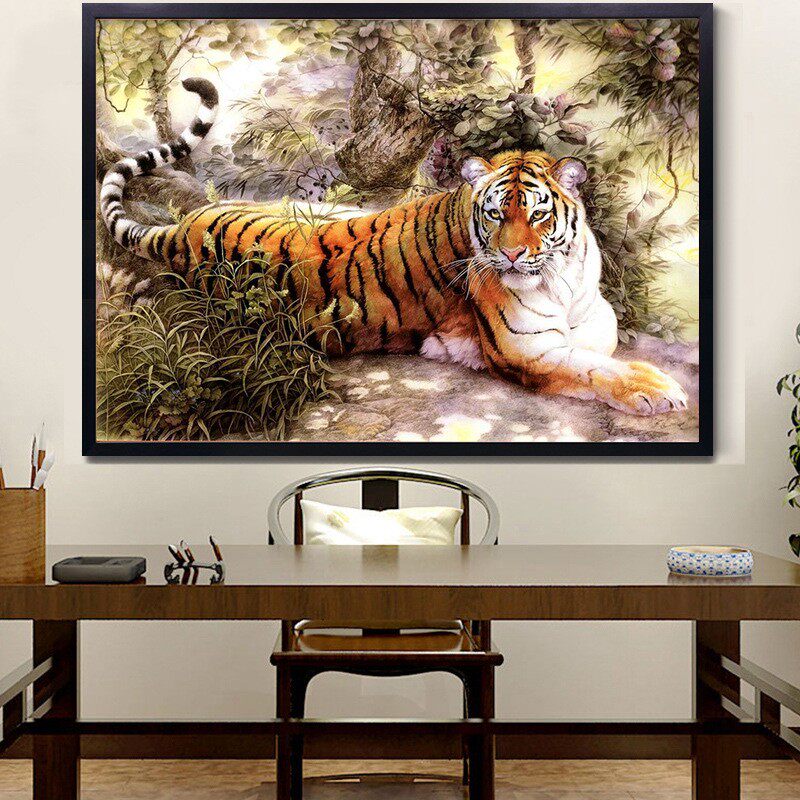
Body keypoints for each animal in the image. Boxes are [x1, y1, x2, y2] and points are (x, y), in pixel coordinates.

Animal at [100, 77, 687, 416]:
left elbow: (602, 342)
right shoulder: (528, 348)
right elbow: (595, 367)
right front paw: (660, 389)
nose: (512, 256)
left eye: (538, 214)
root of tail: (184, 230)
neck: (562, 276)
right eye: (496, 213)